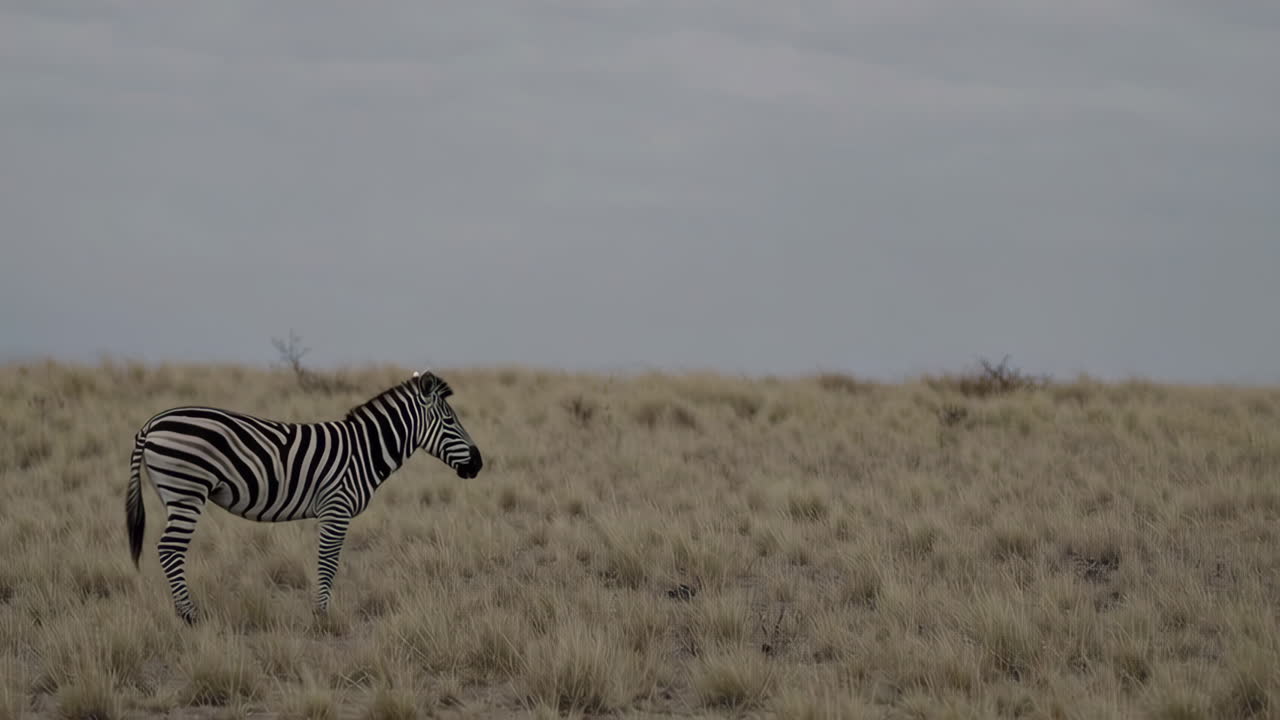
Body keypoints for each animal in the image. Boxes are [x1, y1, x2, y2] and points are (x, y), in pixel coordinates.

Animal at [125, 369, 483, 624]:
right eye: (450, 420)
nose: (479, 463)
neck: (364, 451)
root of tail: (151, 424)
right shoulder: (336, 507)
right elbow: (329, 561)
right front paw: (321, 615)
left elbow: (327, 560)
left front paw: (320, 611)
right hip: (188, 491)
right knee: (169, 549)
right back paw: (189, 616)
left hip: (172, 493)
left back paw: (183, 612)